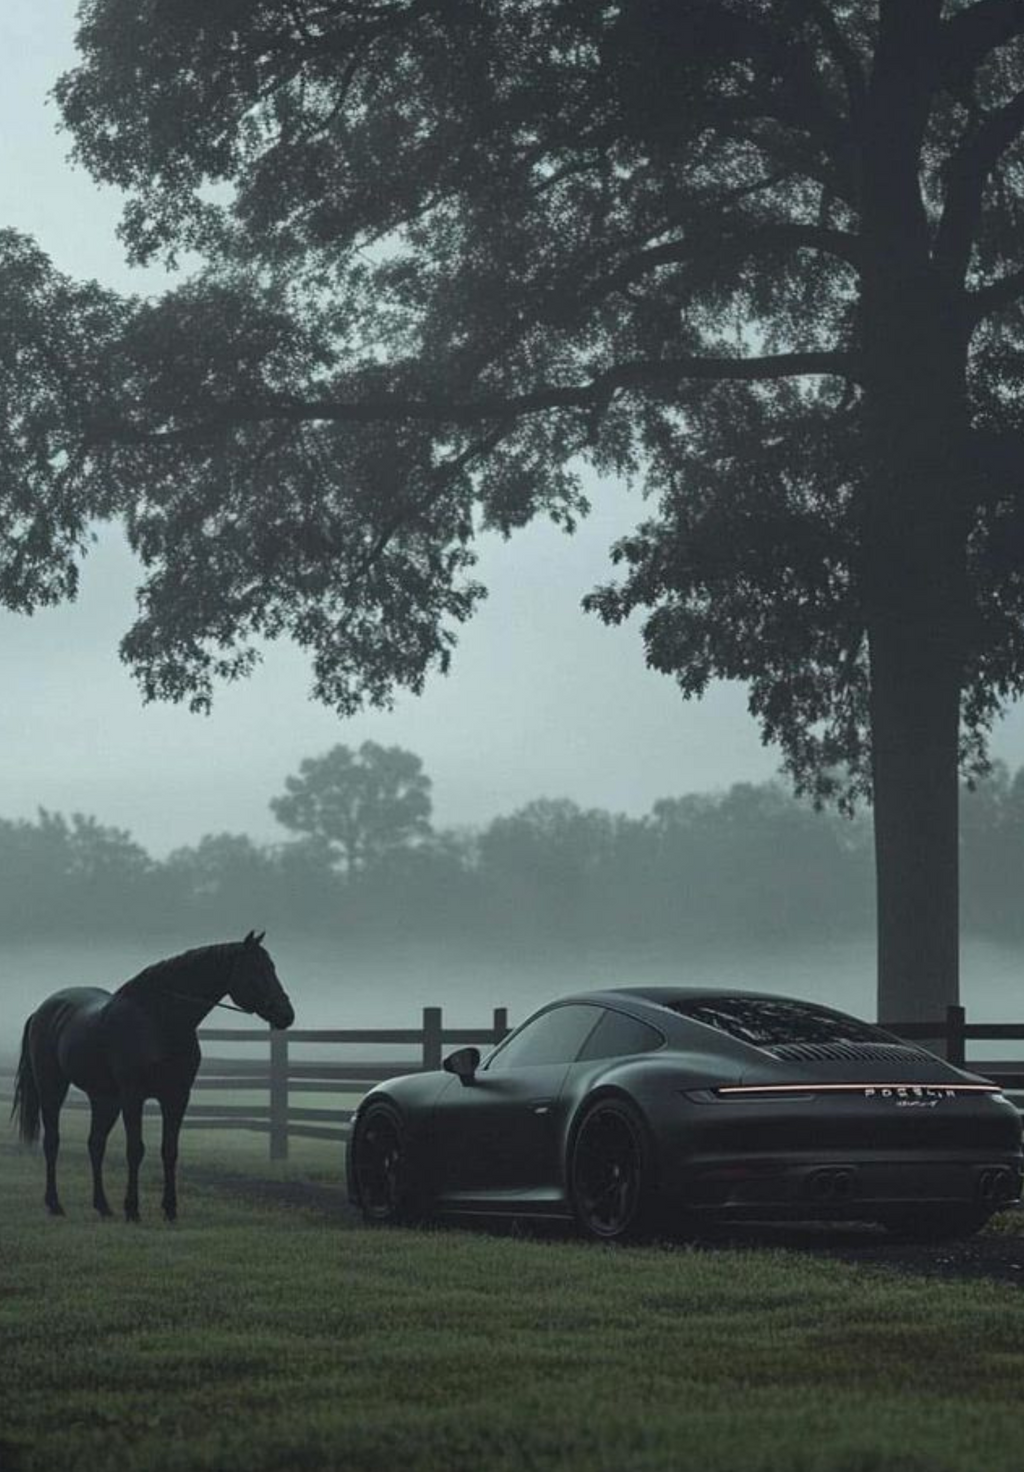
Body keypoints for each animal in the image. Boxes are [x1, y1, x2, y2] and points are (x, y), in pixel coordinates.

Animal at [10, 930, 294, 1221]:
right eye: (256, 969)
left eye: (271, 967)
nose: (286, 1015)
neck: (158, 1021)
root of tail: (43, 1010)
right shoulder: (133, 1096)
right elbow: (135, 1149)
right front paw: (133, 1209)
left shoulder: (177, 1097)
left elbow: (169, 1151)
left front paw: (170, 1209)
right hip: (52, 1088)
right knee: (52, 1142)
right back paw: (55, 1204)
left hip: (104, 1099)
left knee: (96, 1144)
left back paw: (103, 1206)